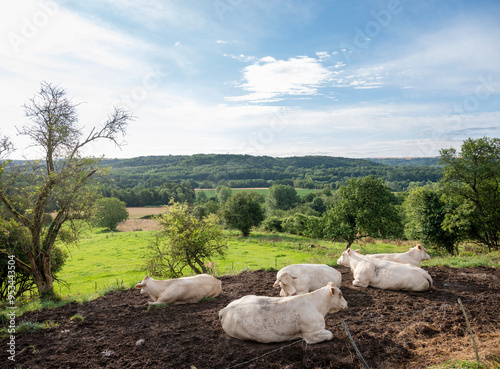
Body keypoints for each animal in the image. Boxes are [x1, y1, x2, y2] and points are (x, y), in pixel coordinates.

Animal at [219, 282, 348, 344]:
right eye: (340, 294)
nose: (347, 304)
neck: (318, 306)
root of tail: (225, 310)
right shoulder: (310, 334)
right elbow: (330, 334)